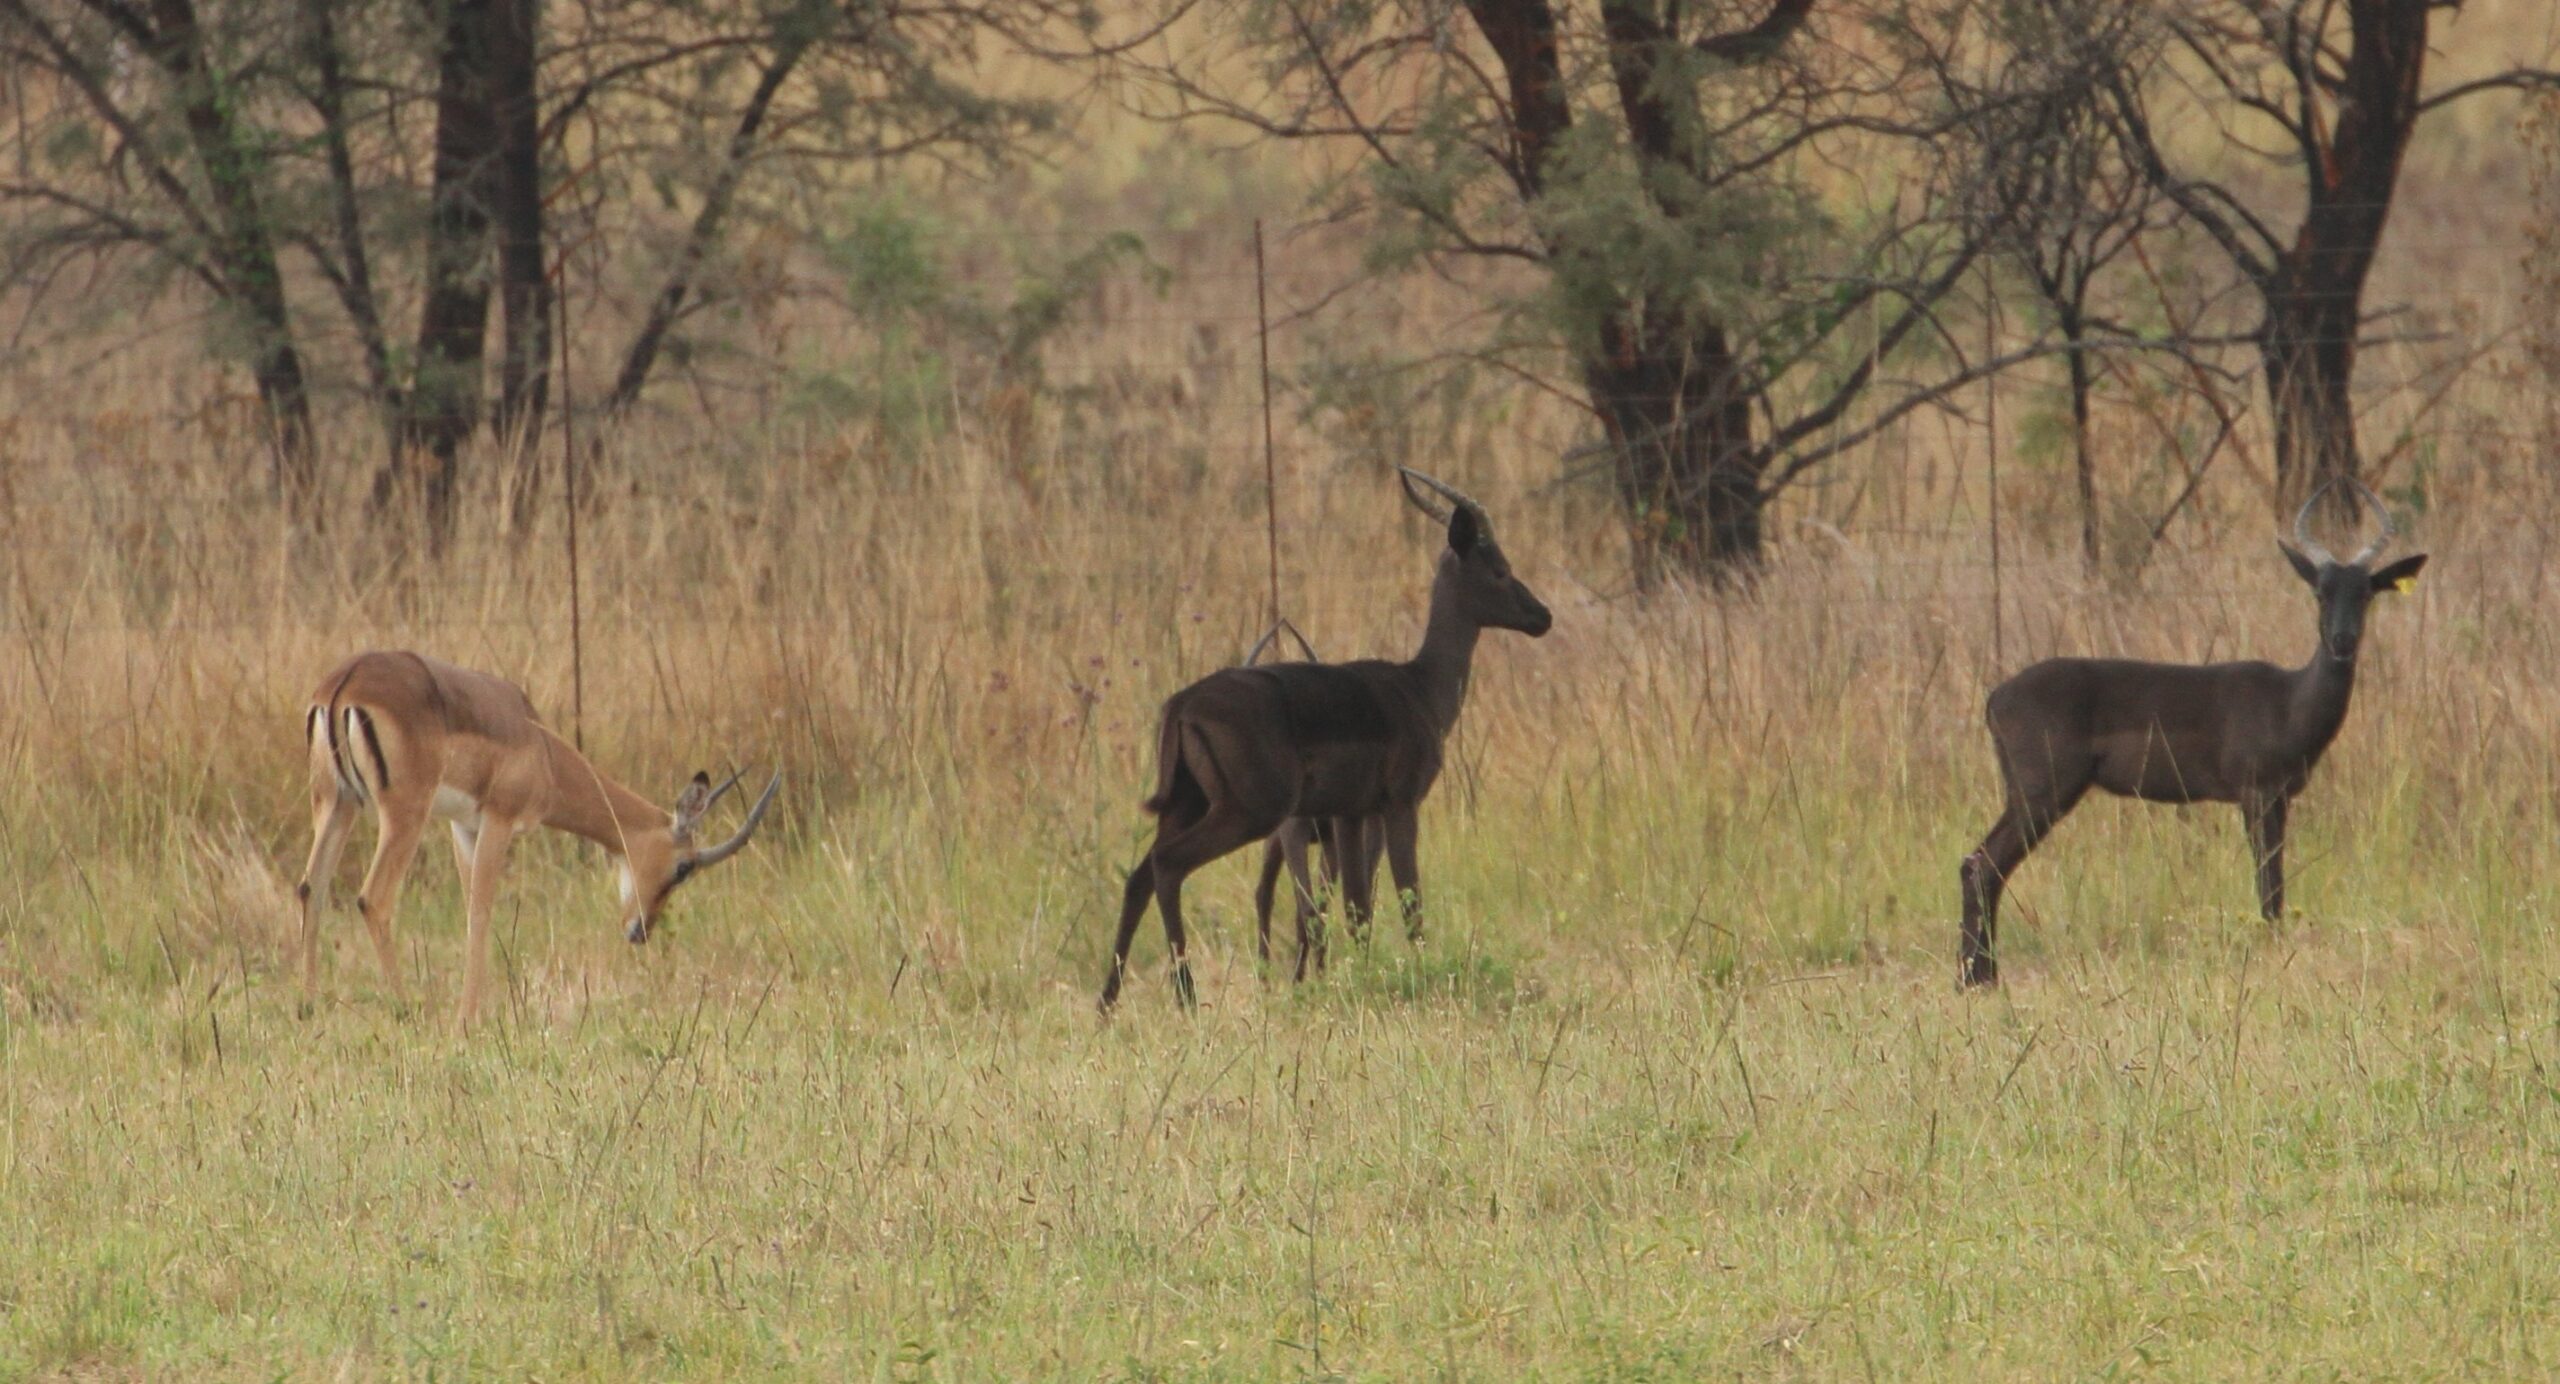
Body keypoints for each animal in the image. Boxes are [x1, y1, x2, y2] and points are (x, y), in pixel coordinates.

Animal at [297, 651, 781, 1027]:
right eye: (683, 868)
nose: (639, 931)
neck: (542, 748)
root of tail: (346, 682)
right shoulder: (499, 820)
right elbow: (480, 911)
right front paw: (468, 1019)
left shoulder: (463, 826)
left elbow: (473, 911)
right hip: (402, 813)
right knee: (373, 899)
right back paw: (408, 1010)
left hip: (335, 802)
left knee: (311, 887)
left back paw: (308, 1008)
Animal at [1100, 469, 1552, 1011]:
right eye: (1500, 569)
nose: (1542, 617)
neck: (1420, 687)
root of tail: (1182, 703)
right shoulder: (1399, 804)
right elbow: (1408, 903)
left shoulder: (1349, 814)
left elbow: (1358, 909)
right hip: (1249, 813)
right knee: (1169, 865)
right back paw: (1187, 999)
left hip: (1188, 805)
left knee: (1140, 876)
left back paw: (1107, 1005)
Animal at [1958, 482, 2425, 986]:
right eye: (2320, 592)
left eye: (2367, 594)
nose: (2342, 642)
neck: (2290, 701)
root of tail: (1995, 697)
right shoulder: (2256, 793)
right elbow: (2267, 880)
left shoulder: (2281, 798)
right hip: (2041, 793)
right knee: (1982, 864)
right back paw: (1977, 978)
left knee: (1981, 866)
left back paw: (1978, 976)